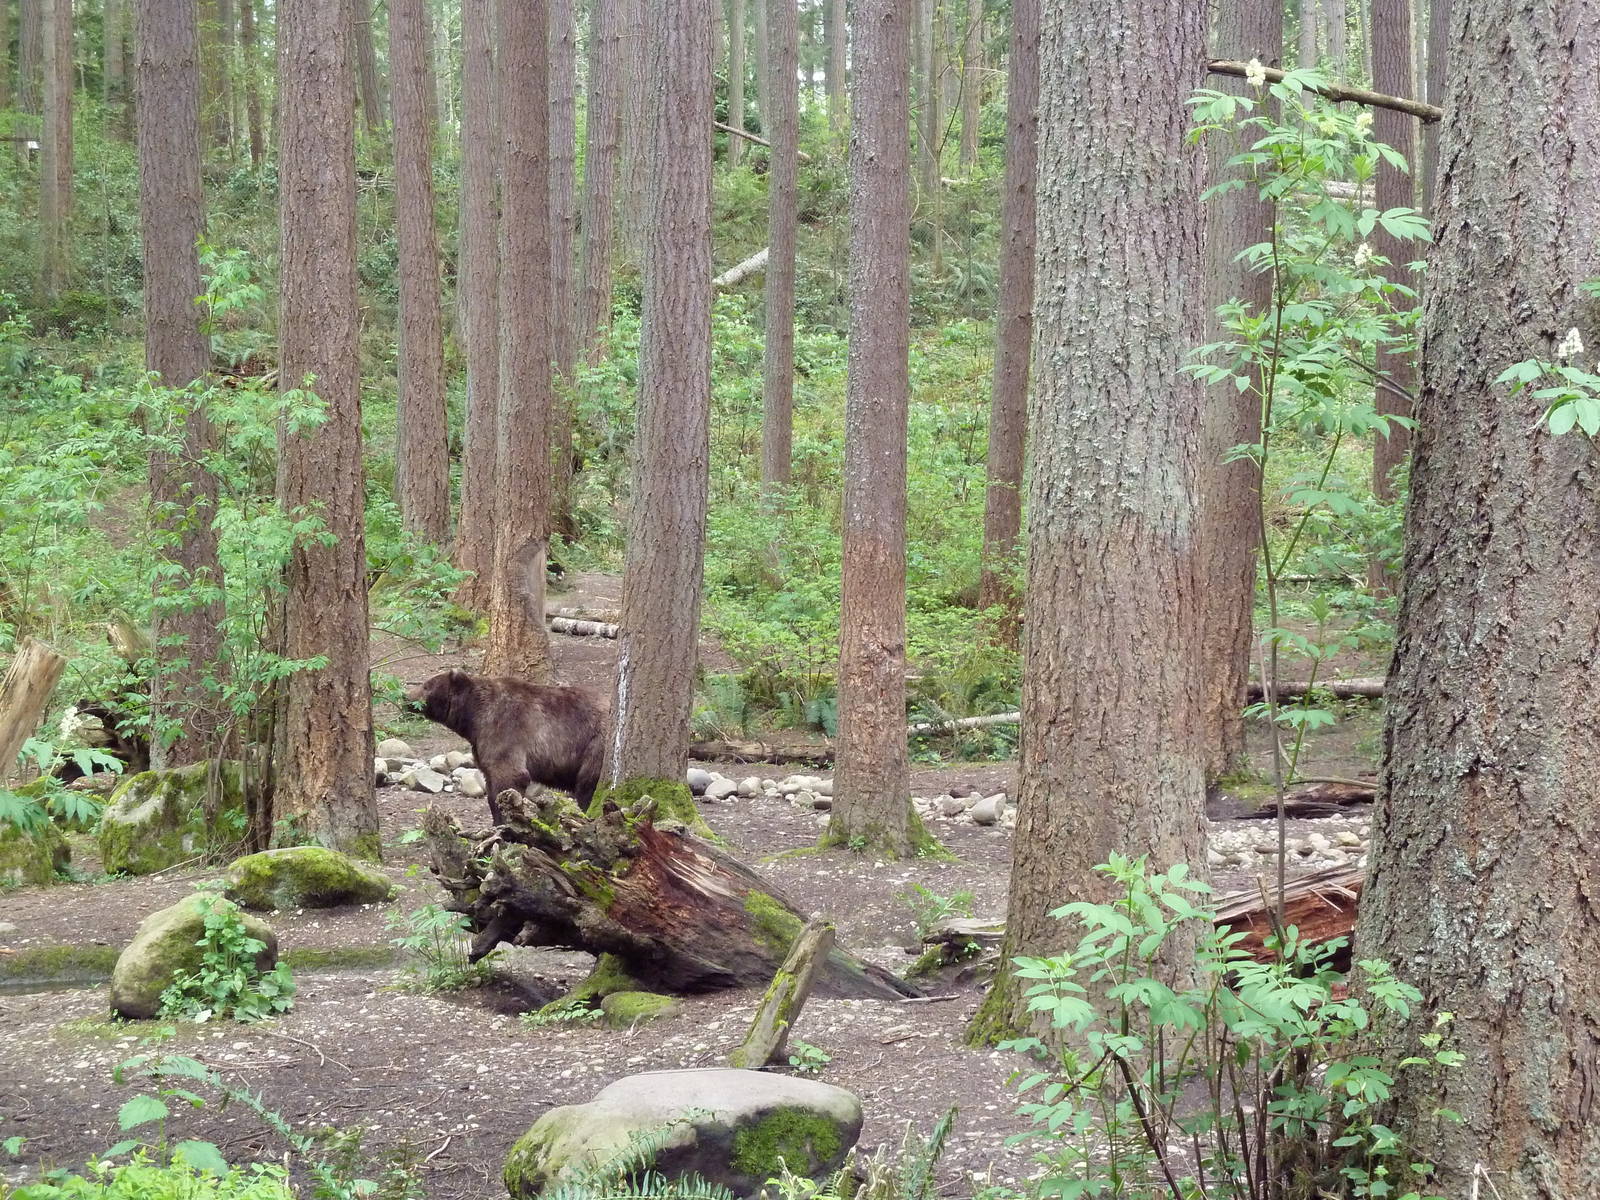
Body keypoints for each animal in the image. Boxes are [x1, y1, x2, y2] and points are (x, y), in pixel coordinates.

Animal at [403, 669, 606, 824]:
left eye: (426, 685)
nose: (406, 696)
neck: (474, 718)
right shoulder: (482, 746)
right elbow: (491, 784)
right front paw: (497, 821)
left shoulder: (506, 729)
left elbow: (509, 777)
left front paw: (507, 822)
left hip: (594, 745)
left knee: (588, 785)